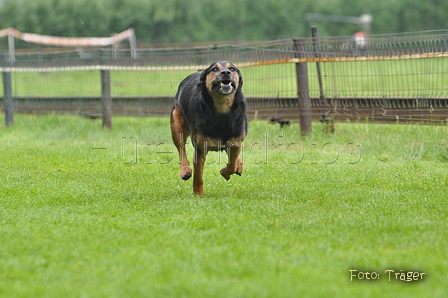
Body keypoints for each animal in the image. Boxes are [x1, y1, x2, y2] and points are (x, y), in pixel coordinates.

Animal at [171, 61, 248, 194]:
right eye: (214, 69)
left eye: (232, 69)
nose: (226, 72)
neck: (222, 111)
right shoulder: (200, 148)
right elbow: (198, 176)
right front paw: (198, 194)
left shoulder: (235, 142)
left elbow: (232, 164)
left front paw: (226, 172)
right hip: (176, 124)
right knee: (181, 149)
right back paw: (185, 170)